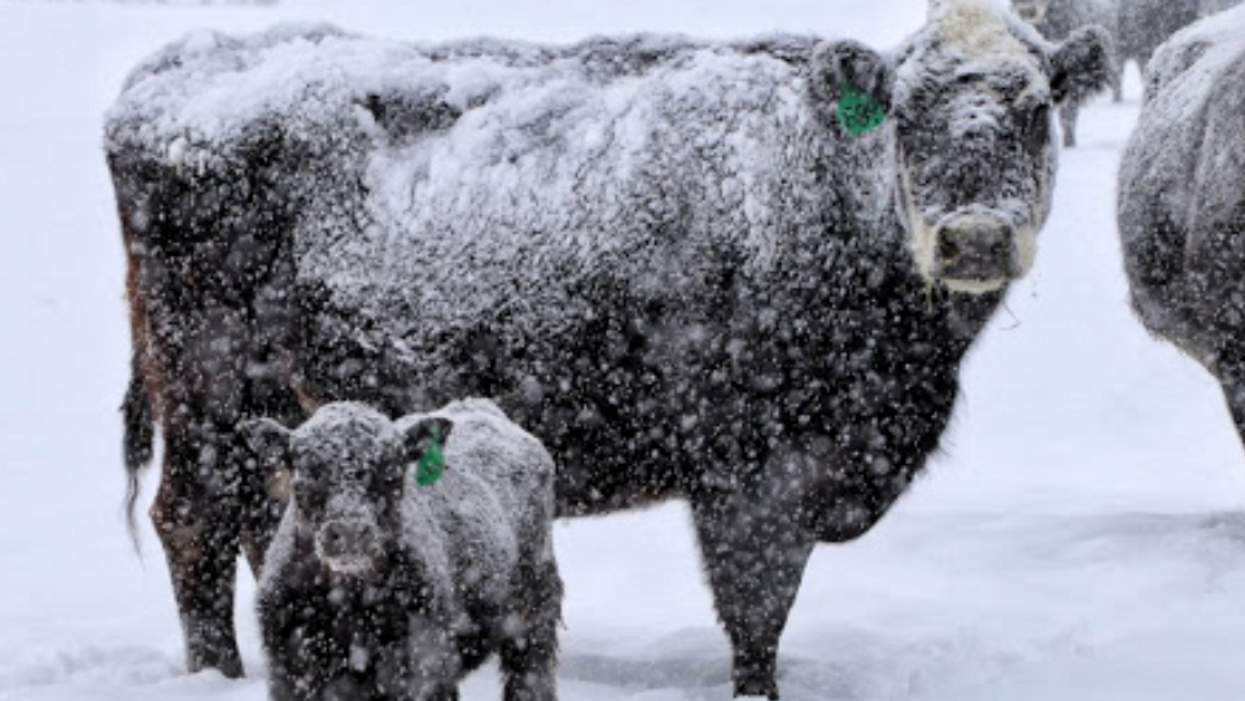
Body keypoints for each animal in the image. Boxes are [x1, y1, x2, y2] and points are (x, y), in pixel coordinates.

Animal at [241, 400, 560, 701]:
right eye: (305, 478)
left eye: (392, 474)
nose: (349, 532)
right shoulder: (293, 675)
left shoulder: (424, 672)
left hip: (534, 616)